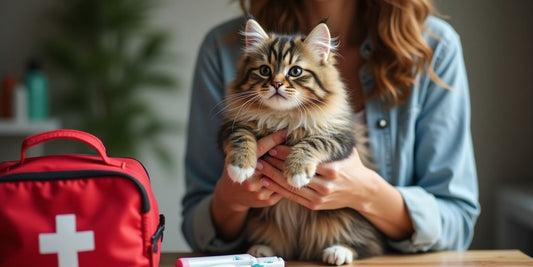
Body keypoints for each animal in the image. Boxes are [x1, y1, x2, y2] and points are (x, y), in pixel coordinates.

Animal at [218, 18, 384, 266]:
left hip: (348, 216)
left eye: (295, 71)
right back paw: (262, 251)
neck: (283, 118)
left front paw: (296, 171)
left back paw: (338, 251)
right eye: (265, 70)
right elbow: (243, 137)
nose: (276, 84)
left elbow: (312, 143)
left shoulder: (341, 138)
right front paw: (240, 168)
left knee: (362, 244)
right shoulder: (231, 127)